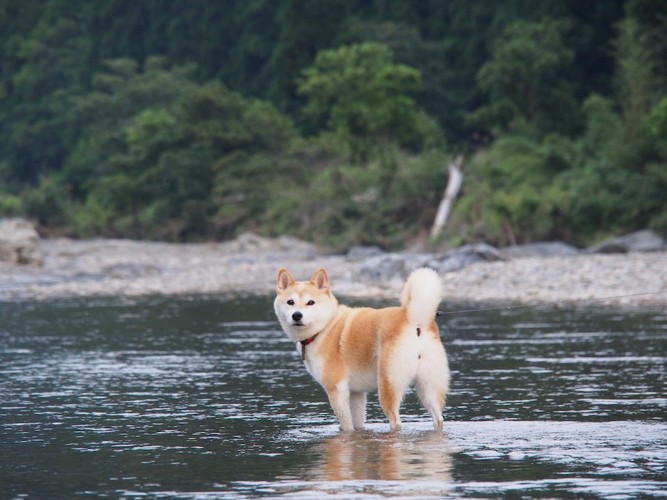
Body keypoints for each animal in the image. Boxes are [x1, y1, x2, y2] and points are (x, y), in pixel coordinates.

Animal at [274, 268, 452, 432]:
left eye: (311, 302)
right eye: (290, 302)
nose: (297, 315)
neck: (325, 327)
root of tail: (413, 318)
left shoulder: (337, 390)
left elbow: (346, 426)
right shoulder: (356, 393)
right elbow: (358, 424)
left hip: (388, 385)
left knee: (396, 422)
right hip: (428, 387)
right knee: (439, 419)